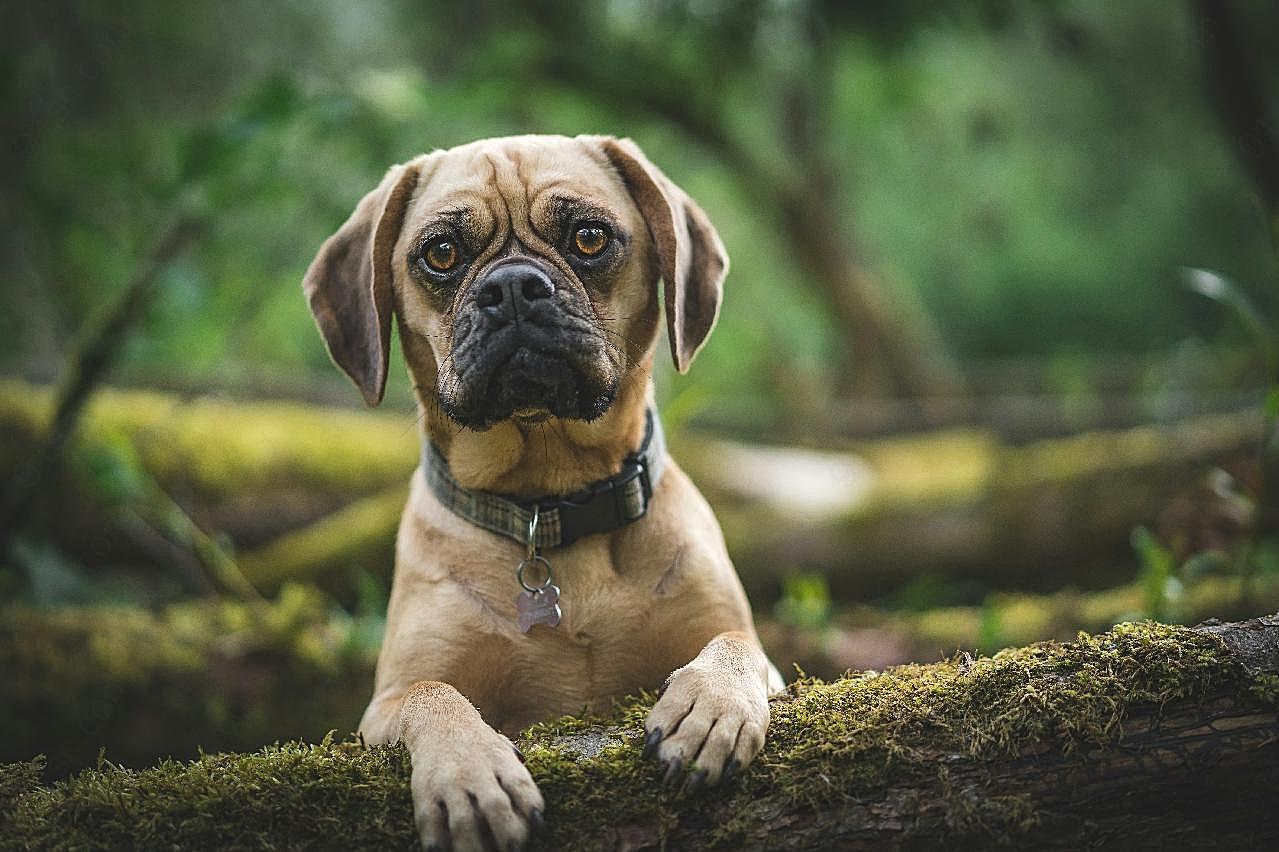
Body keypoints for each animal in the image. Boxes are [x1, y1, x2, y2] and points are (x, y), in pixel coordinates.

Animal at [304, 134, 782, 849]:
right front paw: (470, 775)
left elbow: (737, 646)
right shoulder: (386, 703)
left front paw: (710, 705)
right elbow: (433, 696)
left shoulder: (757, 655)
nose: (512, 287)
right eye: (440, 254)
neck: (548, 506)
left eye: (588, 237)